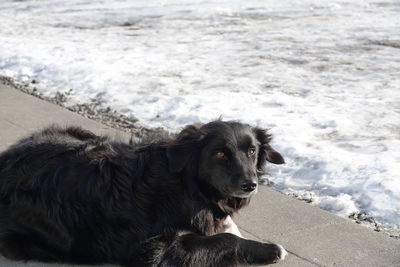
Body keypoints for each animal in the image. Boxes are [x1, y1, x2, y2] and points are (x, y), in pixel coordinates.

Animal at [0, 121, 286, 266]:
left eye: (252, 151)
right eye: (219, 154)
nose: (250, 184)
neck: (187, 182)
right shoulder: (155, 250)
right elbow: (226, 239)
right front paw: (270, 250)